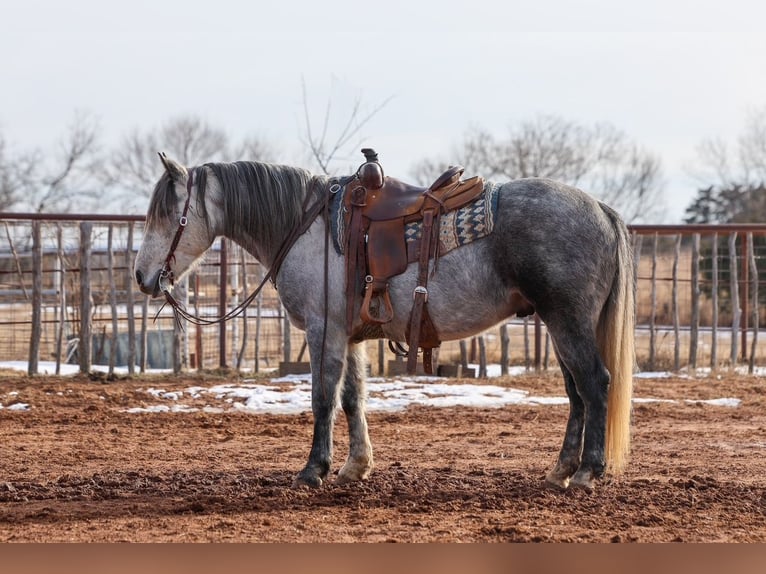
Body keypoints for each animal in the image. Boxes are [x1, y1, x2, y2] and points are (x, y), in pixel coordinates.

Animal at [133, 154, 635, 491]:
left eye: (169, 214)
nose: (141, 276)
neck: (306, 226)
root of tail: (601, 208)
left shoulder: (324, 329)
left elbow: (323, 399)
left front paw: (313, 470)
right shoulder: (352, 335)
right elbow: (353, 398)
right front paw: (356, 467)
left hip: (568, 321)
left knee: (594, 384)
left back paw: (587, 472)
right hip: (559, 324)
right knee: (576, 393)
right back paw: (560, 471)